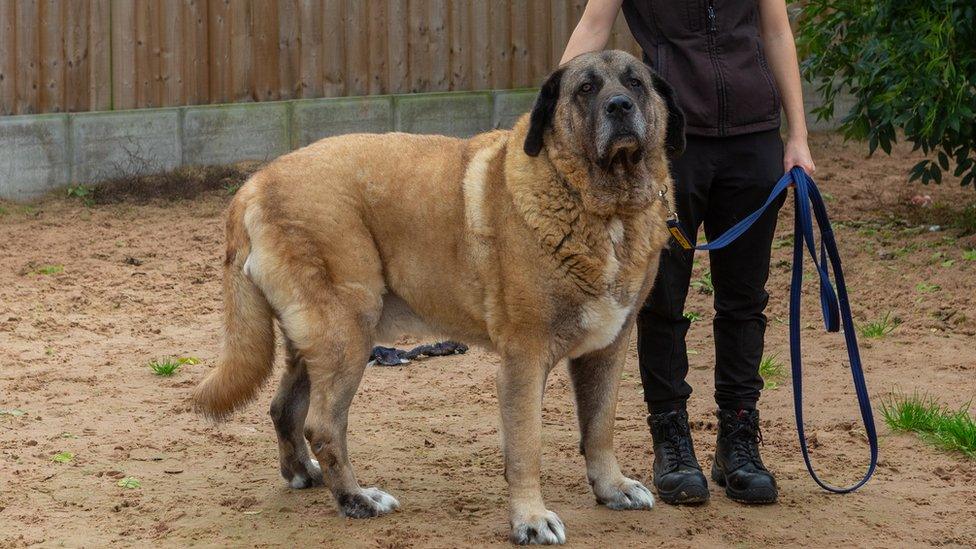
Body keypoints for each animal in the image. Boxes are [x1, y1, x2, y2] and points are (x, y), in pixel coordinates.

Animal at [194, 50, 688, 544]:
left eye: (635, 83)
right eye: (586, 88)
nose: (620, 106)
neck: (603, 207)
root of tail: (254, 185)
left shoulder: (607, 349)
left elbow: (600, 427)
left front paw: (612, 488)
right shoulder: (525, 361)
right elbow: (527, 448)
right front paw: (530, 519)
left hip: (315, 340)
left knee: (284, 408)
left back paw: (304, 473)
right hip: (346, 334)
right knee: (324, 425)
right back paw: (358, 499)